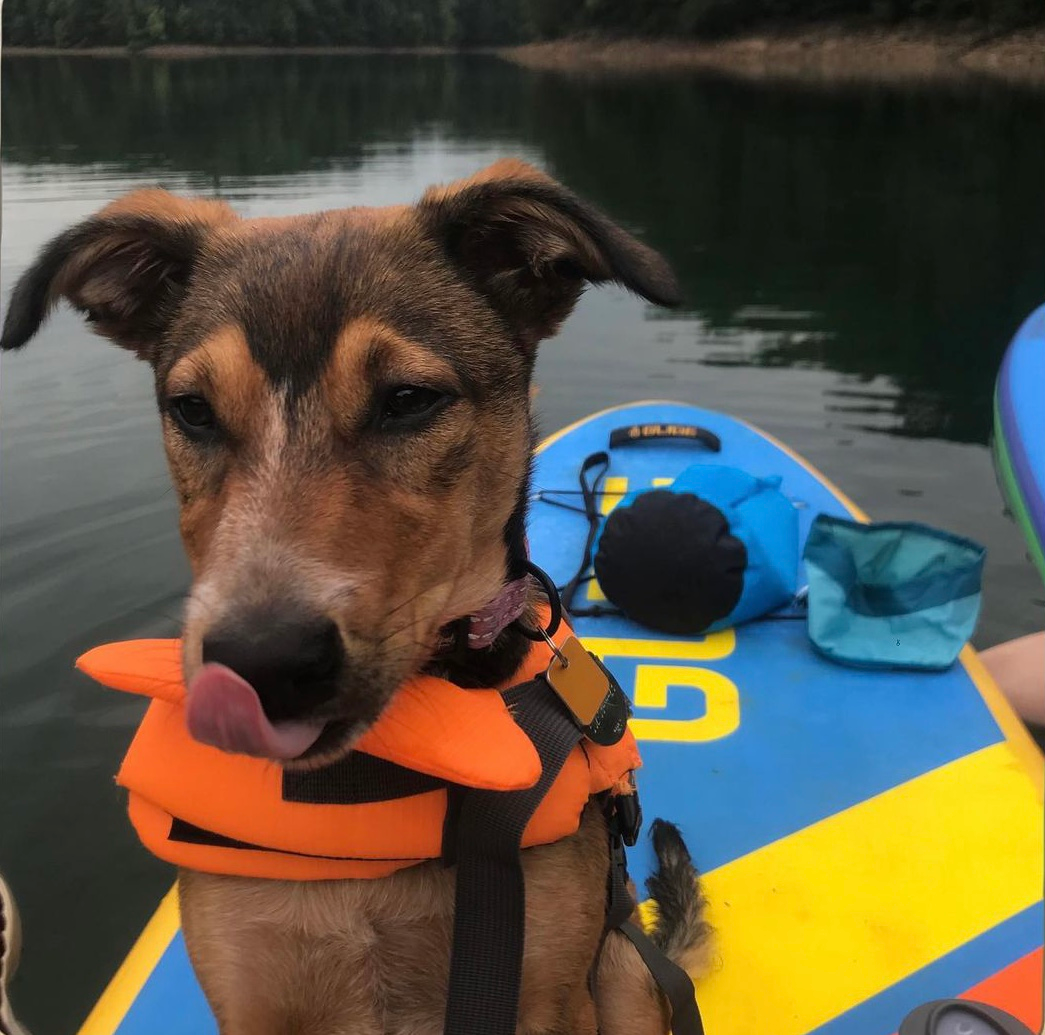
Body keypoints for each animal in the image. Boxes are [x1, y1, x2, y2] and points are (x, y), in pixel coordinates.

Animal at [2, 162, 710, 1035]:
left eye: (407, 399)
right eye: (192, 409)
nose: (260, 664)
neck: (362, 787)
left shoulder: (546, 989)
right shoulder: (250, 995)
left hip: (624, 973)